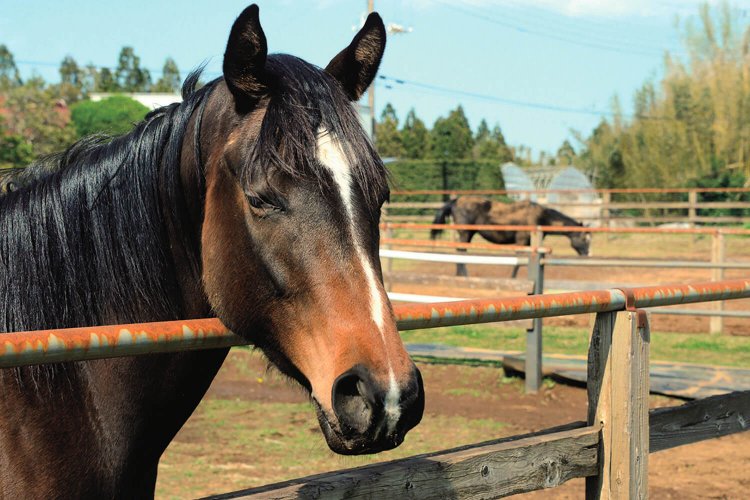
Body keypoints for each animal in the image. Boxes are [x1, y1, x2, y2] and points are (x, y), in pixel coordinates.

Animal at [430, 196, 591, 277]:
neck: (540, 217)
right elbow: (518, 260)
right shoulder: (521, 241)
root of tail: (455, 201)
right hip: (465, 233)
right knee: (461, 252)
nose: (587, 254)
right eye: (584, 239)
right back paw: (463, 275)